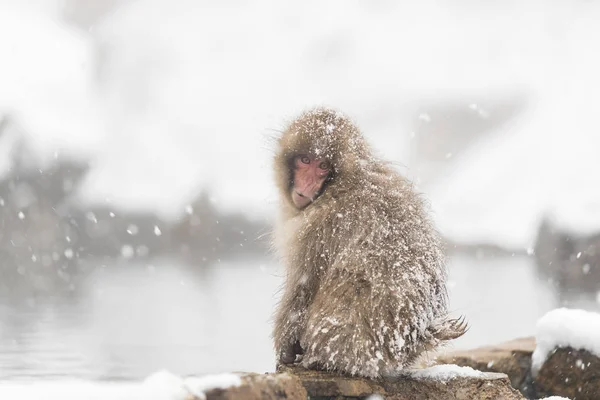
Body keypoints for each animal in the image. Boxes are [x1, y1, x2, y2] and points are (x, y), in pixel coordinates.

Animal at [274, 107, 468, 378]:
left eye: (323, 165)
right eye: (305, 160)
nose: (307, 185)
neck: (345, 180)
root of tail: (411, 343)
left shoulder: (318, 226)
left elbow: (303, 285)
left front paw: (285, 349)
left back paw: (317, 360)